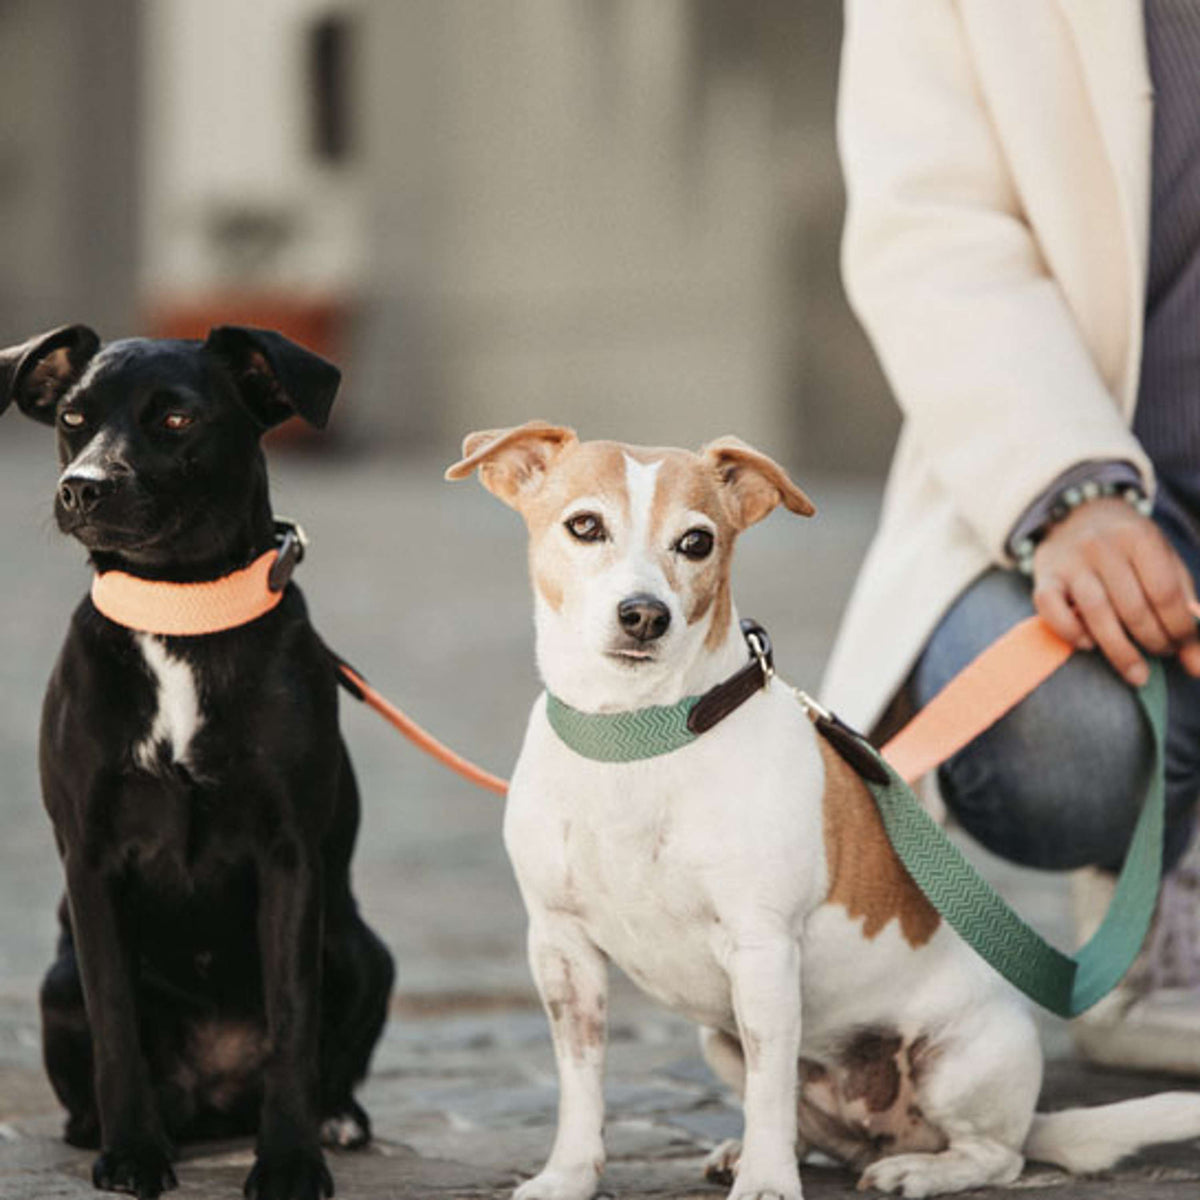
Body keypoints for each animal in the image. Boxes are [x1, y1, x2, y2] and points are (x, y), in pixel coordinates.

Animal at [1, 326, 393, 1200]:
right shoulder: (91, 860)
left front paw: (290, 1162)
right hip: (57, 979)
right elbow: (117, 1027)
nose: (81, 488)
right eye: (73, 417)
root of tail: (215, 1101)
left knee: (327, 1059)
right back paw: (109, 1130)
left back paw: (337, 1119)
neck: (178, 610)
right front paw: (132, 1154)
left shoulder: (290, 857)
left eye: (177, 419)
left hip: (364, 952)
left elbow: (292, 1024)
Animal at [448, 424, 1200, 1200]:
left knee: (995, 1154)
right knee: (812, 1126)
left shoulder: (763, 952)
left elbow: (769, 1085)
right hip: (720, 1042)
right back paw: (754, 1151)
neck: (639, 733)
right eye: (585, 526)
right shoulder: (561, 951)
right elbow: (583, 1083)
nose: (645, 615)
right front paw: (568, 1176)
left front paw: (767, 1185)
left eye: (697, 541)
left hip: (959, 1059)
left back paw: (917, 1169)